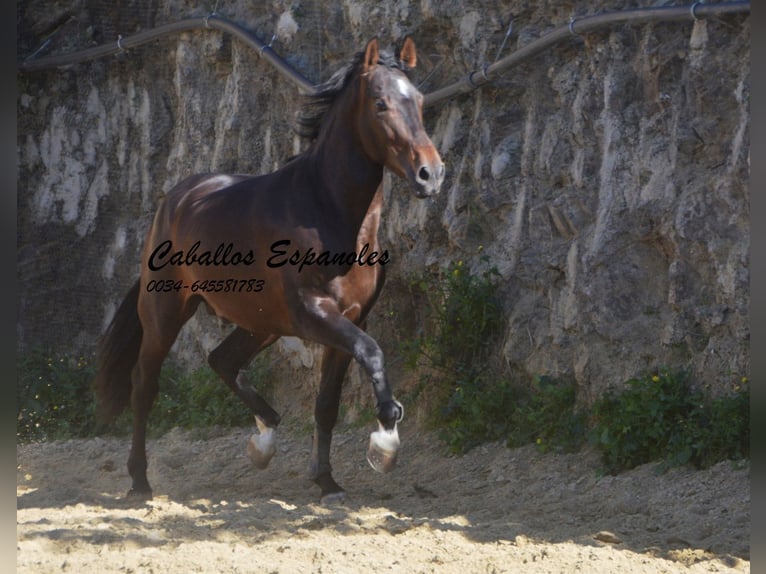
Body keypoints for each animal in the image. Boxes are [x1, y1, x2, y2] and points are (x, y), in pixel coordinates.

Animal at [95, 37, 444, 504]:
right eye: (380, 103)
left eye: (419, 101)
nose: (431, 174)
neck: (327, 212)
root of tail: (175, 200)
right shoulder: (314, 313)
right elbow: (371, 352)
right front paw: (385, 443)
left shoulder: (352, 317)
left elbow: (327, 403)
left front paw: (327, 482)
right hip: (166, 314)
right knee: (144, 385)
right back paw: (140, 481)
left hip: (262, 322)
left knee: (222, 360)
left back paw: (264, 440)